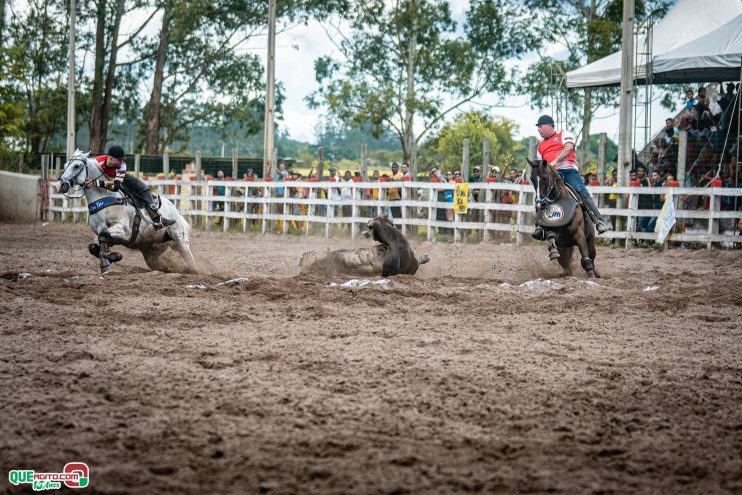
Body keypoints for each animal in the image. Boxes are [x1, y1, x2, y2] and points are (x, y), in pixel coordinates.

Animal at [57, 151, 198, 276]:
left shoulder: (124, 231)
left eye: (76, 166)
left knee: (189, 259)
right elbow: (95, 244)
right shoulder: (104, 234)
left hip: (179, 237)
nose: (60, 185)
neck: (104, 197)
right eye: (65, 165)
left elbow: (103, 237)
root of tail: (174, 210)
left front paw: (109, 260)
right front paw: (107, 260)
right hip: (152, 251)